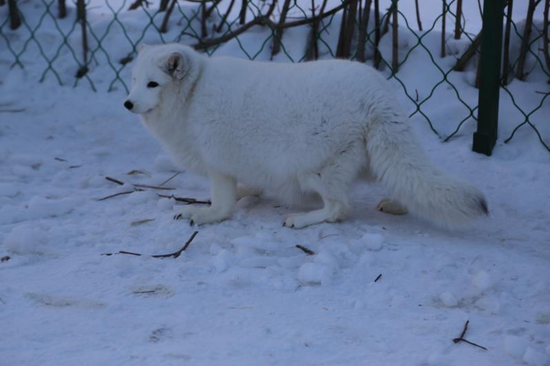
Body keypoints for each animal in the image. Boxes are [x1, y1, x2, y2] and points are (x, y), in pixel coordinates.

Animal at [124, 43, 488, 229]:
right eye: (134, 80)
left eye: (153, 84)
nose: (128, 103)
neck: (192, 96)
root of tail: (377, 96)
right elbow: (248, 186)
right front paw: (248, 192)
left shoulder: (217, 164)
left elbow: (223, 205)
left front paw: (204, 214)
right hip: (375, 155)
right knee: (407, 179)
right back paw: (397, 204)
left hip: (316, 170)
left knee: (341, 208)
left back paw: (302, 219)